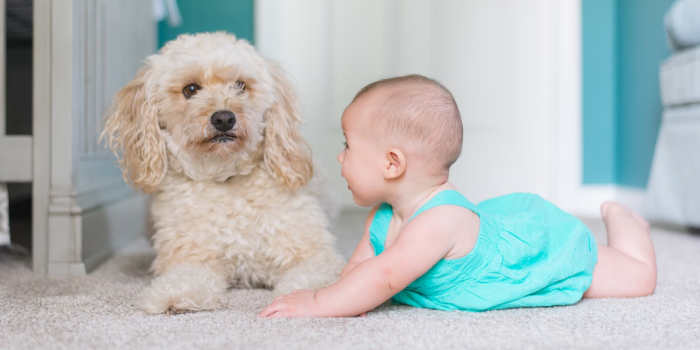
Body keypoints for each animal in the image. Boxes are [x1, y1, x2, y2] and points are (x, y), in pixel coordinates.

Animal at [100, 31, 344, 314]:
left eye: (240, 85)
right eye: (190, 89)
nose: (224, 118)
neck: (226, 178)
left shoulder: (314, 254)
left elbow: (312, 276)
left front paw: (303, 297)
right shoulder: (192, 257)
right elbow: (186, 278)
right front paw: (175, 295)